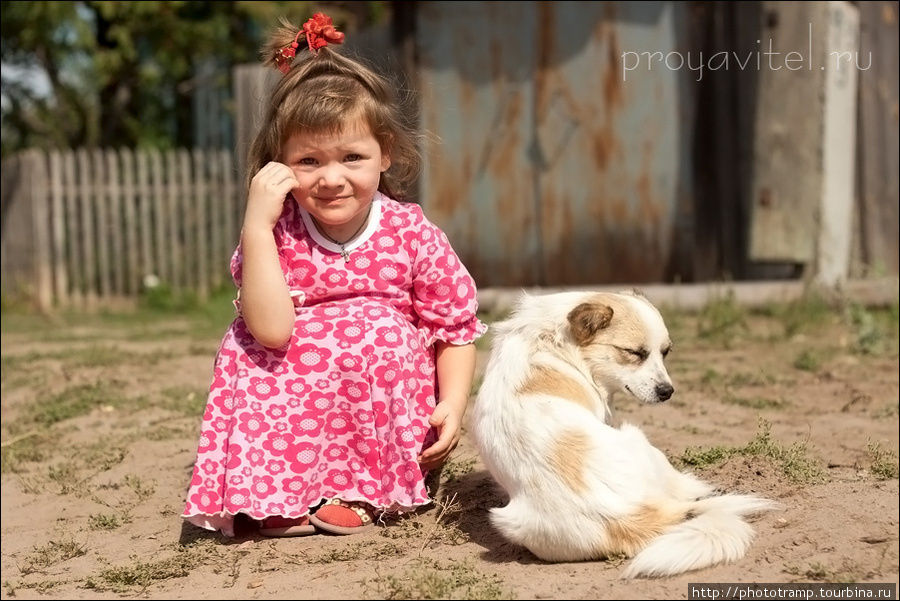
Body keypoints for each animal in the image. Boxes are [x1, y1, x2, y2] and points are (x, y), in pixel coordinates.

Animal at [472, 290, 772, 576]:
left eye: (665, 352)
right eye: (634, 353)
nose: (667, 392)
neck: (555, 339)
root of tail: (627, 515)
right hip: (642, 442)